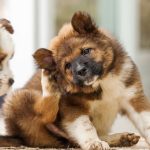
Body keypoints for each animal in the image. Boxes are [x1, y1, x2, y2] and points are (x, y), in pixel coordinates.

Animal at [0, 11, 149, 149]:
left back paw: (122, 138)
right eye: (67, 65)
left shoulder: (133, 97)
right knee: (46, 118)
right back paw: (49, 84)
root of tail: (18, 137)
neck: (102, 82)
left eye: (86, 51)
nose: (81, 71)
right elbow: (87, 126)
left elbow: (146, 122)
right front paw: (94, 143)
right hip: (19, 98)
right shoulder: (74, 108)